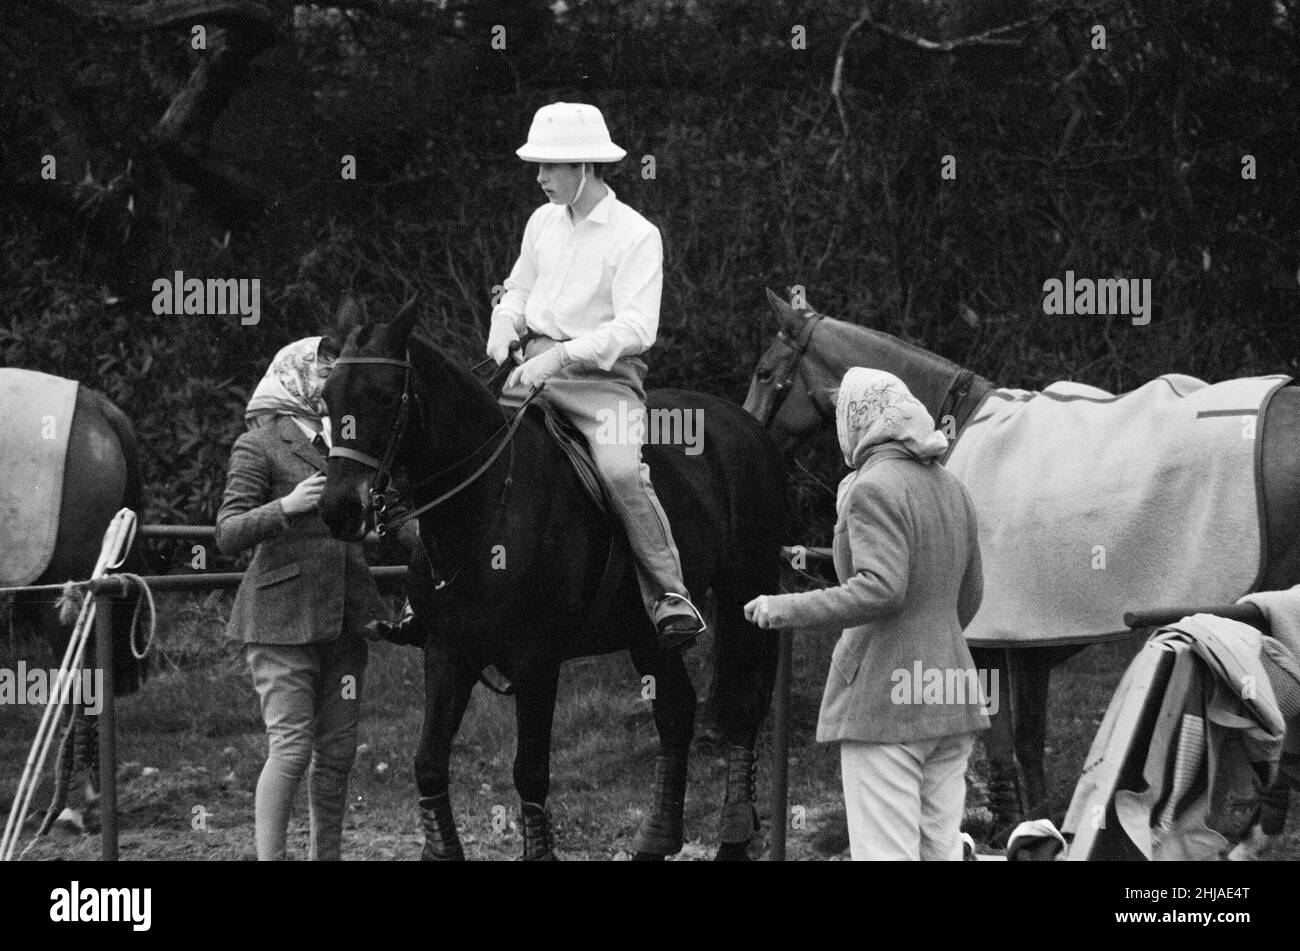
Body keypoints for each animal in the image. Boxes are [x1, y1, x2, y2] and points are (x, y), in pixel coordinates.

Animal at [319, 307, 785, 857]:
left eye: (384, 396)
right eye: (327, 398)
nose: (338, 510)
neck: (488, 507)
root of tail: (747, 424)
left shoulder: (536, 663)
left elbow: (530, 772)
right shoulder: (447, 653)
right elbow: (428, 763)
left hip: (746, 596)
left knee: (744, 707)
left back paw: (734, 831)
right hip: (647, 634)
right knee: (677, 711)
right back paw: (656, 838)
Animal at [743, 289, 1300, 831]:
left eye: (765, 372)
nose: (747, 440)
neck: (948, 430)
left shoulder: (1016, 640)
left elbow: (1022, 738)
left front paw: (1028, 825)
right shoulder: (1005, 641)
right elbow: (1008, 738)